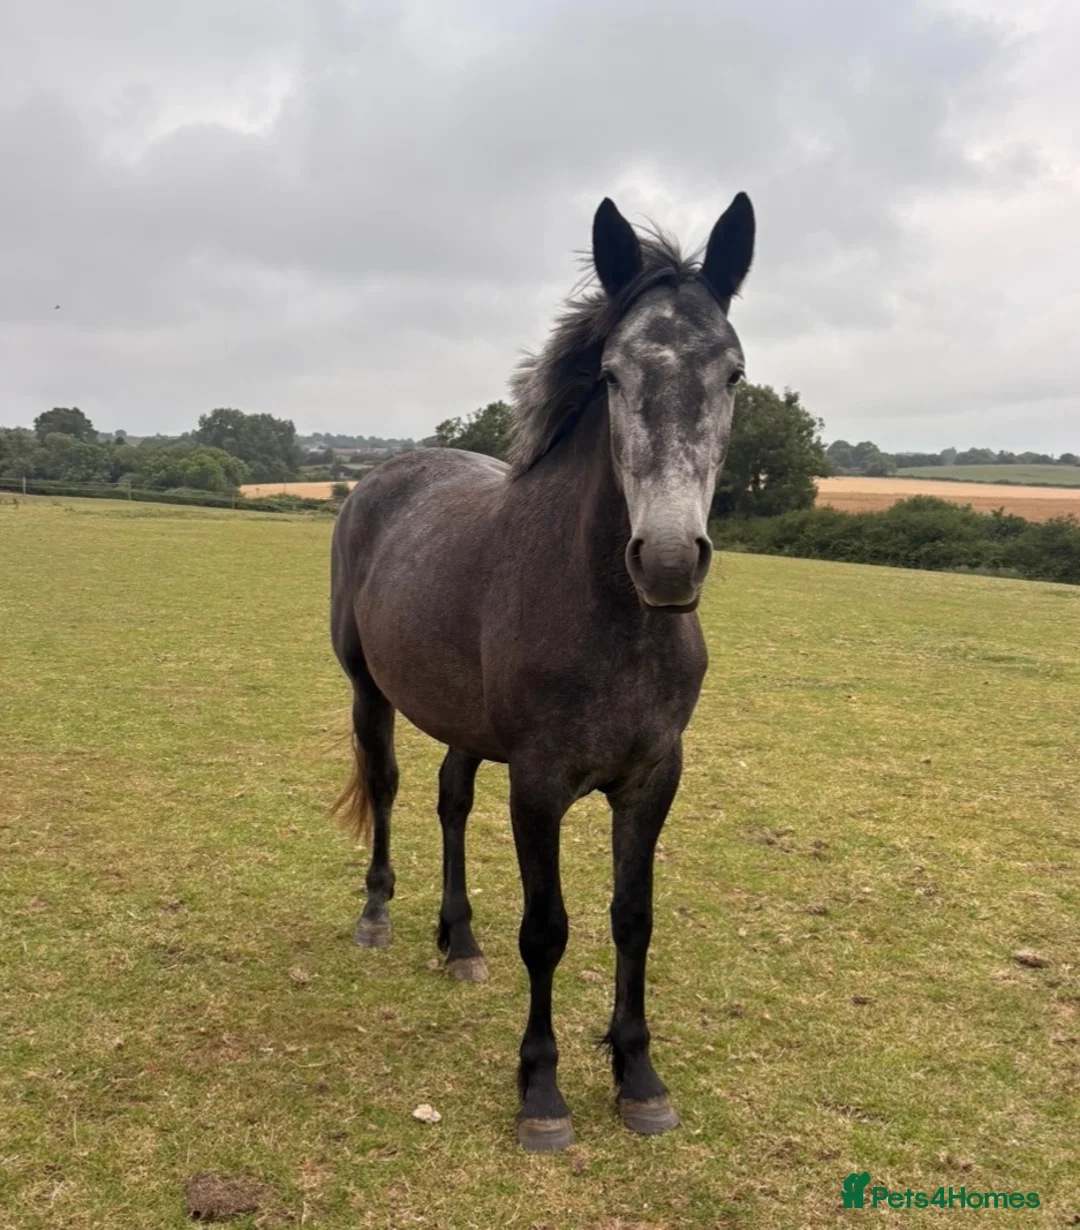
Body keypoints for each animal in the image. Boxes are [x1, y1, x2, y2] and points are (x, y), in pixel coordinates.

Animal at [329, 192, 755, 1152]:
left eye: (734, 374)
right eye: (613, 375)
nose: (667, 560)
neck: (613, 622)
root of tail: (387, 472)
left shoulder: (653, 778)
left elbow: (632, 919)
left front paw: (639, 1077)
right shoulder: (539, 783)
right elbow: (548, 929)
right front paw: (543, 1093)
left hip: (464, 723)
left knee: (451, 798)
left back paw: (459, 943)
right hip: (370, 691)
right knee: (391, 784)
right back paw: (378, 915)